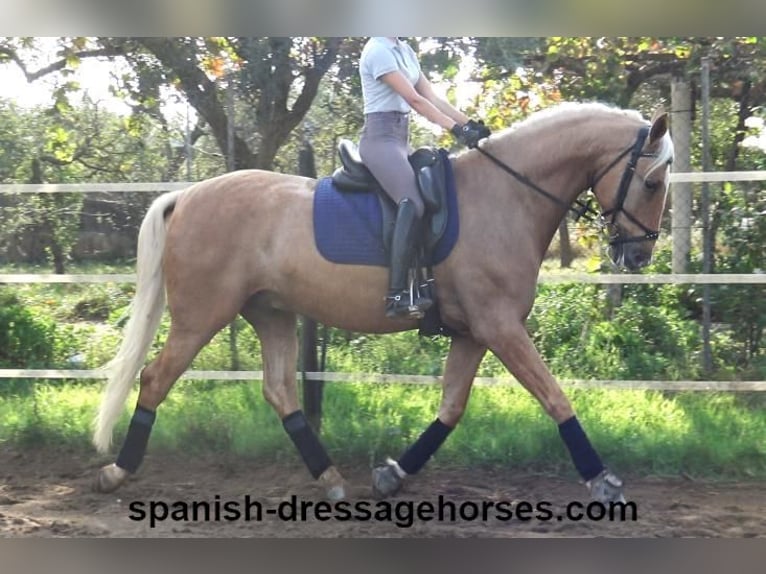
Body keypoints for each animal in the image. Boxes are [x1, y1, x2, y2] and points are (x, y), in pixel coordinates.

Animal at [93, 102, 676, 504]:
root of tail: (188, 195)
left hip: (271, 312)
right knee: (155, 378)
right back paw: (117, 471)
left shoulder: (473, 331)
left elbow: (451, 408)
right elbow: (555, 397)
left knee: (279, 391)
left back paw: (330, 479)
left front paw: (393, 474)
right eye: (651, 182)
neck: (508, 195)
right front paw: (603, 480)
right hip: (201, 315)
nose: (638, 254)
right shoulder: (499, 325)